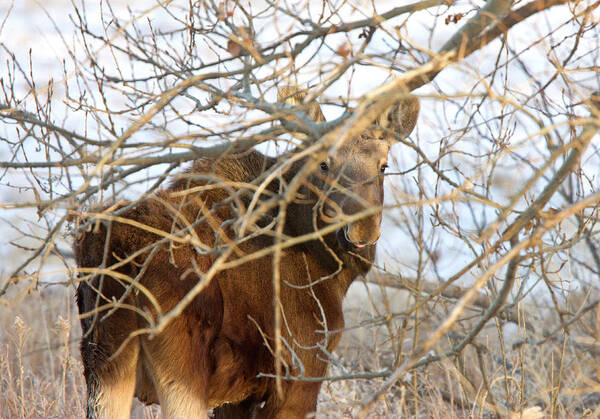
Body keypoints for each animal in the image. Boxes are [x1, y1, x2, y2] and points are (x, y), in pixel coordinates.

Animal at [74, 86, 418, 419]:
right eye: (323, 164)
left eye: (383, 166)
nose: (361, 231)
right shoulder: (300, 375)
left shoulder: (237, 398)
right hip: (182, 365)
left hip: (103, 362)